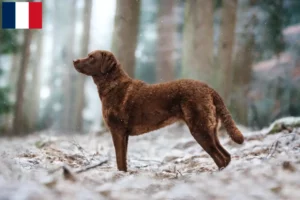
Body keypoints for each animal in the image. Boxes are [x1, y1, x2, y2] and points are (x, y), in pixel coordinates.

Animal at [72, 50, 244, 172]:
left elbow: (120, 160)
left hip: (200, 129)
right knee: (226, 156)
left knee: (221, 157)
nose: (74, 60)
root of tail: (208, 88)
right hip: (211, 129)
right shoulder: (124, 134)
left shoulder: (117, 131)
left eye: (91, 57)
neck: (111, 85)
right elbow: (124, 160)